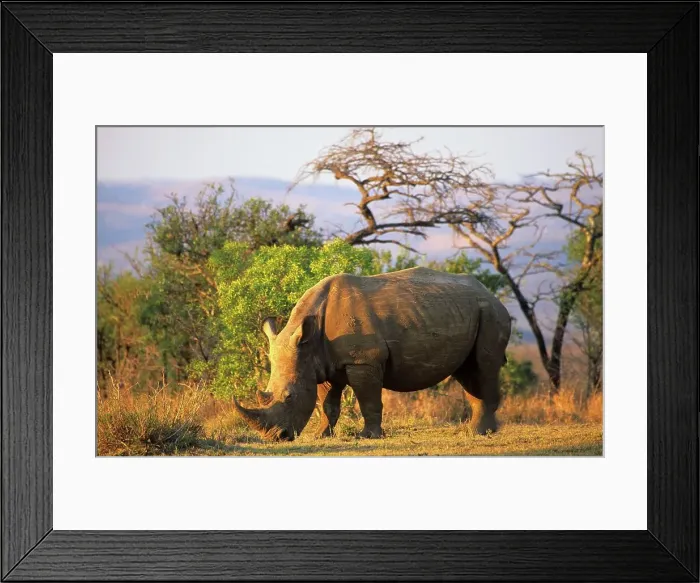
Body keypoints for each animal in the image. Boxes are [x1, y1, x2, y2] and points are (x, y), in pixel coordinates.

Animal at [233, 266, 511, 441]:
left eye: (289, 397)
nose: (276, 438)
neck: (308, 341)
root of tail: (491, 294)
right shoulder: (319, 363)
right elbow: (327, 404)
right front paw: (321, 435)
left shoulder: (363, 360)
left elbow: (368, 399)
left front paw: (368, 436)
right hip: (468, 311)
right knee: (468, 370)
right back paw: (475, 431)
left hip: (491, 312)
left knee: (484, 366)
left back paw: (482, 433)